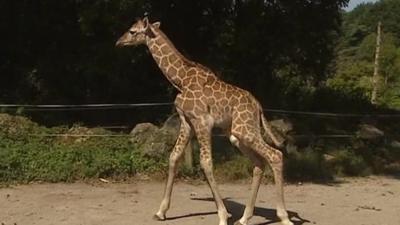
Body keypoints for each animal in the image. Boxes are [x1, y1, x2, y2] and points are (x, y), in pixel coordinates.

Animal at [115, 17, 294, 225]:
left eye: (132, 31)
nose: (119, 42)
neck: (180, 79)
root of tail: (258, 106)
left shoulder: (202, 121)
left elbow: (206, 162)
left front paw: (223, 216)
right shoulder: (186, 121)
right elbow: (174, 157)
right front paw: (161, 212)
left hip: (245, 131)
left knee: (275, 155)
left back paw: (284, 217)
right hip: (237, 135)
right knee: (259, 163)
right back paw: (244, 218)